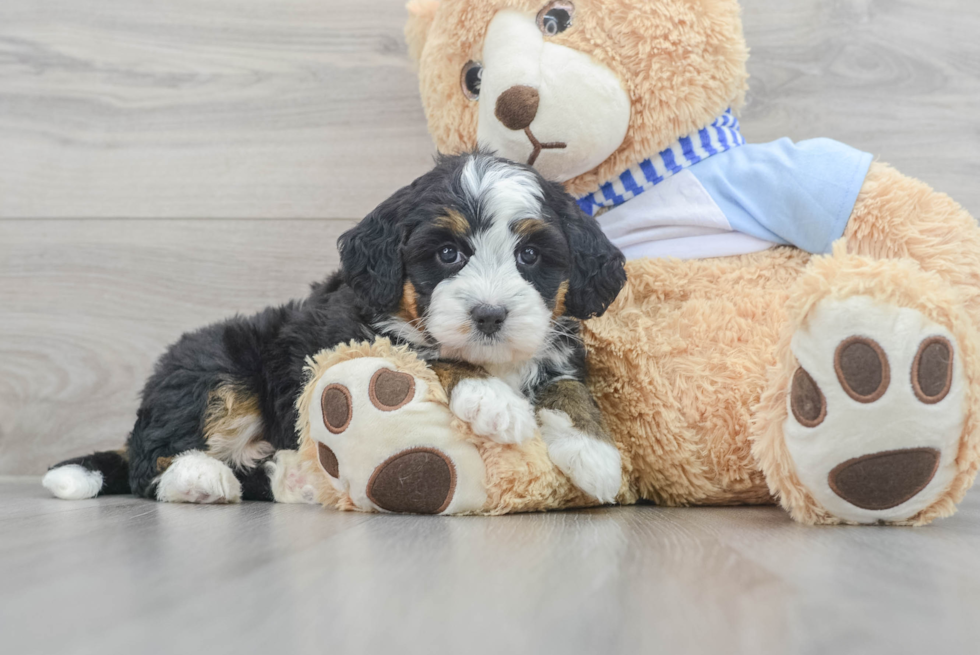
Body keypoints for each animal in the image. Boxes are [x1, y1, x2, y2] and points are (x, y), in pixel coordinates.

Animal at [42, 154, 628, 508]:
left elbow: (571, 388)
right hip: (213, 367)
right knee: (153, 460)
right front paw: (494, 401)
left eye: (530, 255)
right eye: (447, 253)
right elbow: (431, 354)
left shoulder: (558, 348)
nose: (489, 314)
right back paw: (201, 478)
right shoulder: (357, 333)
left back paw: (287, 475)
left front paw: (594, 454)